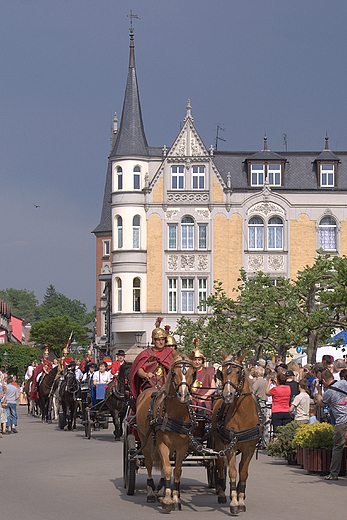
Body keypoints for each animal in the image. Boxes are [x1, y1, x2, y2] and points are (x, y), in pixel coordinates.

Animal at [135, 350, 197, 512]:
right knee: (149, 463)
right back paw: (151, 492)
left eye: (192, 373)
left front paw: (174, 498)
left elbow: (176, 470)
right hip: (146, 441)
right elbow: (168, 469)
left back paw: (162, 489)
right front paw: (168, 501)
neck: (175, 415)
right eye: (174, 373)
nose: (183, 395)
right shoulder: (162, 444)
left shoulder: (182, 447)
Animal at [212, 350, 264, 516]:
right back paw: (222, 493)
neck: (243, 414)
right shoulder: (230, 447)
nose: (227, 395)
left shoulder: (249, 449)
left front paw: (241, 499)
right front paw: (234, 503)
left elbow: (243, 473)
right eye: (221, 373)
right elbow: (233, 472)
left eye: (238, 372)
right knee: (221, 466)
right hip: (219, 444)